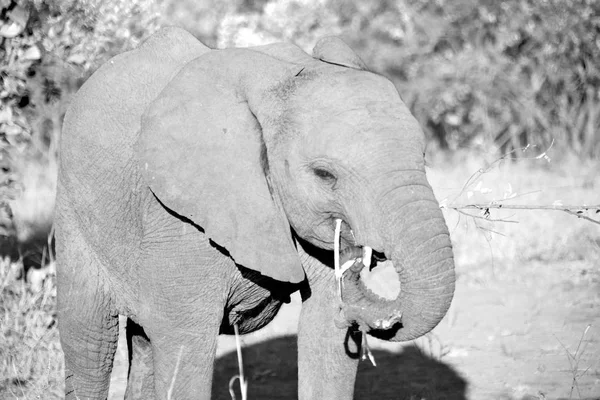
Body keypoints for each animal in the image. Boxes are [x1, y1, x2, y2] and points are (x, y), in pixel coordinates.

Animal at [56, 26, 454, 398]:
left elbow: (326, 331)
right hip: (75, 214)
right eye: (325, 175)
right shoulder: (177, 217)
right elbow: (185, 342)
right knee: (90, 344)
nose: (358, 252)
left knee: (142, 345)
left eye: (422, 156)